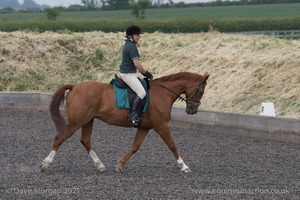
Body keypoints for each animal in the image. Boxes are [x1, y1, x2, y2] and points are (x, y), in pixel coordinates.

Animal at [40, 72, 209, 173]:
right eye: (201, 91)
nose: (192, 111)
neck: (163, 93)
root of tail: (75, 86)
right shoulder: (161, 126)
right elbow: (172, 145)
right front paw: (184, 166)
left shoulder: (145, 127)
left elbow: (135, 147)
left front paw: (119, 164)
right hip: (76, 122)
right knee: (60, 138)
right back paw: (46, 163)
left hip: (88, 120)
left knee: (85, 141)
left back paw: (100, 165)